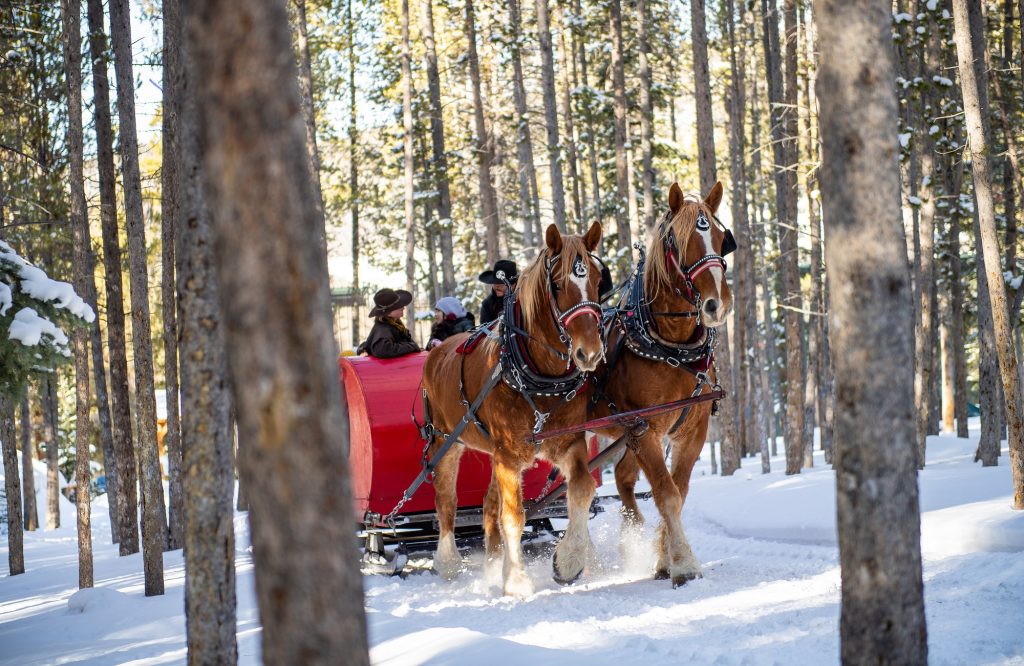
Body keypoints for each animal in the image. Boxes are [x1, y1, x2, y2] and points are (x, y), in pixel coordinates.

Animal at [423, 220, 606, 594]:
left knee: (487, 505)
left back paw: (494, 564)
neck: (537, 375)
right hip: (445, 441)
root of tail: (436, 350)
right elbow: (514, 515)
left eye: (597, 280)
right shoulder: (508, 454)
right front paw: (517, 579)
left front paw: (569, 560)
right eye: (558, 284)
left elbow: (581, 489)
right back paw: (448, 562)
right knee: (446, 503)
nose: (590, 352)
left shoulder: (568, 442)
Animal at [598, 181, 733, 586]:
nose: (717, 304)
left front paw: (664, 558)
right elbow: (665, 492)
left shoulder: (692, 429)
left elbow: (680, 489)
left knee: (623, 478)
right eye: (679, 241)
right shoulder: (644, 428)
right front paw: (684, 564)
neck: (671, 348)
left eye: (720, 237)